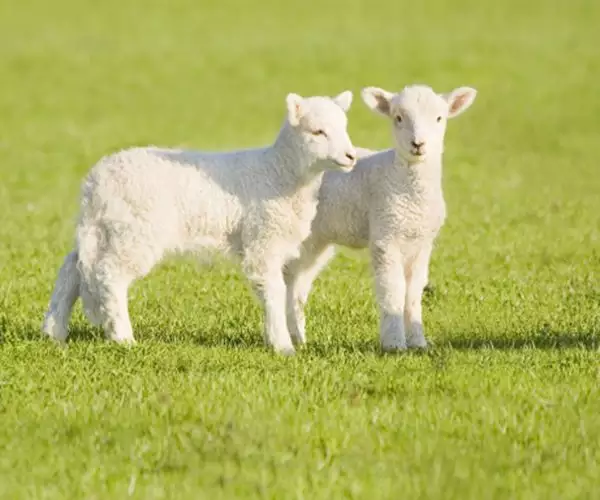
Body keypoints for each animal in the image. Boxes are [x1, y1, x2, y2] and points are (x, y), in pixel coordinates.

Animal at [45, 91, 360, 356]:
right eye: (318, 131)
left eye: (345, 128)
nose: (351, 157)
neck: (279, 172)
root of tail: (95, 182)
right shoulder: (264, 240)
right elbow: (273, 290)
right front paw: (282, 347)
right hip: (136, 231)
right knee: (109, 275)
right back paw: (123, 337)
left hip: (105, 229)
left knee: (72, 269)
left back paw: (53, 330)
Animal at [286, 84, 478, 350]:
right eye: (398, 118)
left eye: (439, 118)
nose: (418, 144)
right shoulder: (385, 237)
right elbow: (393, 290)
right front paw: (394, 343)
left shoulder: (422, 244)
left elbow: (414, 293)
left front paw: (418, 342)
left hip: (317, 239)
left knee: (298, 282)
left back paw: (299, 338)